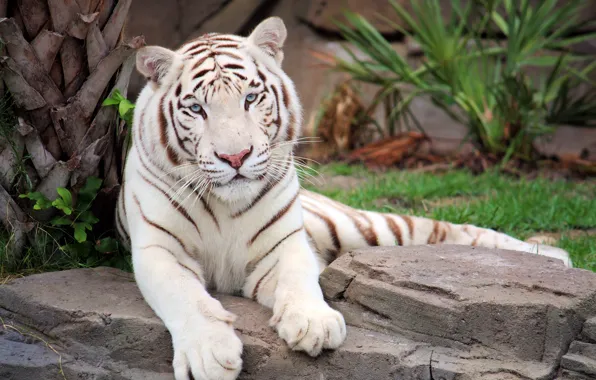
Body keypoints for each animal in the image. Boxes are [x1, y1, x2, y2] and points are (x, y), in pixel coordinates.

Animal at [115, 16, 568, 378]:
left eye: (250, 98)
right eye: (196, 109)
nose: (236, 156)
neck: (227, 206)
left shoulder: (284, 243)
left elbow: (299, 278)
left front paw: (314, 323)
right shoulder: (159, 249)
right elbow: (187, 297)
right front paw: (209, 353)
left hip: (365, 228)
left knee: (449, 230)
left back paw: (552, 258)